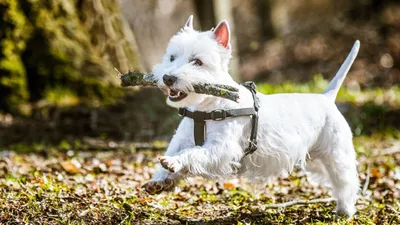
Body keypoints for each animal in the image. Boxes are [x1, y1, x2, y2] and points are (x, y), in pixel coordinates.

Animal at [143, 15, 360, 218]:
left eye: (197, 62)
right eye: (172, 57)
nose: (168, 78)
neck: (206, 108)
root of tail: (327, 98)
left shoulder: (222, 149)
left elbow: (193, 153)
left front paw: (173, 164)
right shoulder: (182, 139)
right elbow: (175, 152)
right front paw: (160, 180)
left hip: (336, 152)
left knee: (346, 179)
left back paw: (345, 210)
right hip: (315, 158)